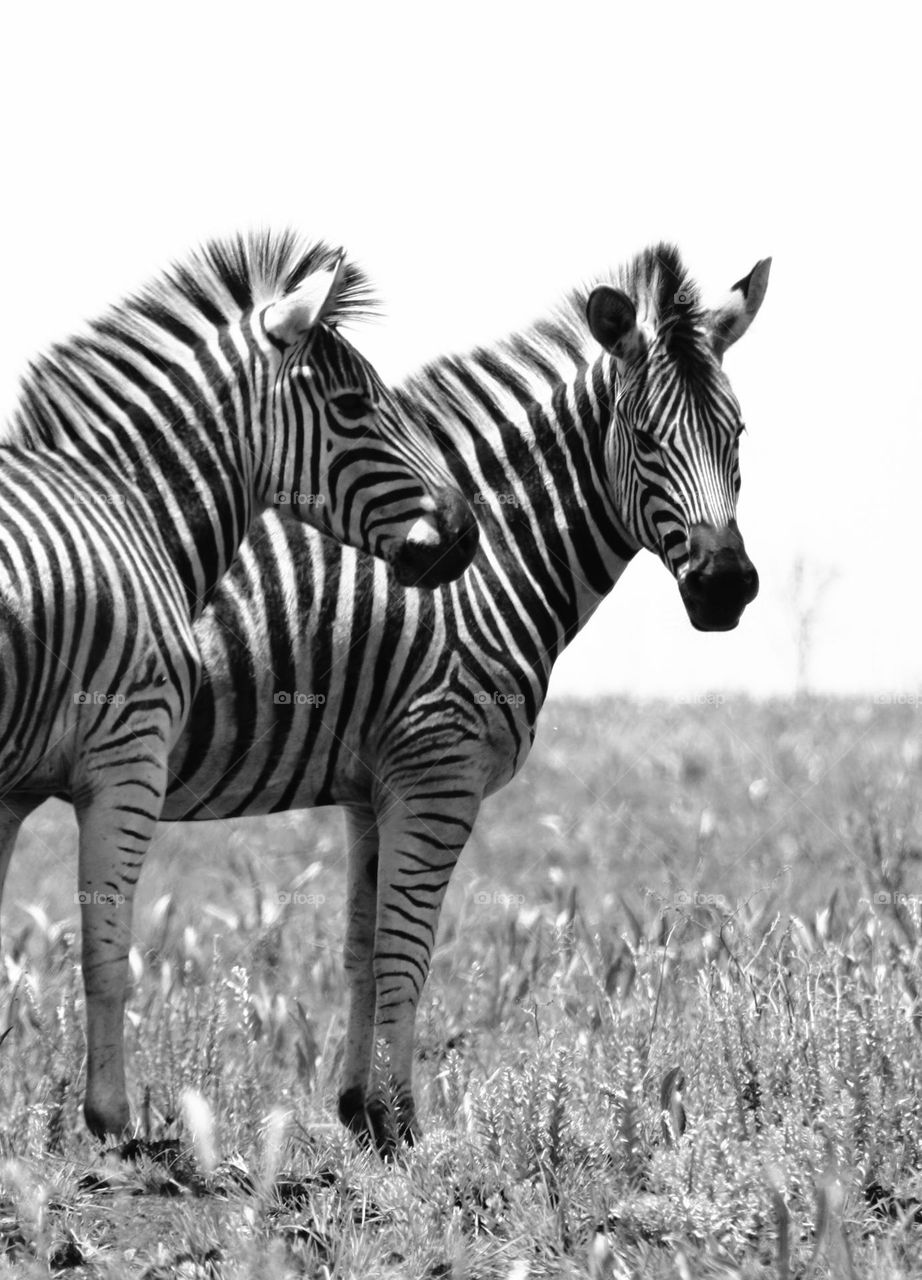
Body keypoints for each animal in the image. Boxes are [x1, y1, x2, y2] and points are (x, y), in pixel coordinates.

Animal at [0, 230, 481, 1141]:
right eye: (356, 407)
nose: (465, 536)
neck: (133, 508)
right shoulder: (128, 756)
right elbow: (107, 951)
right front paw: (111, 1120)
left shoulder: (10, 790)